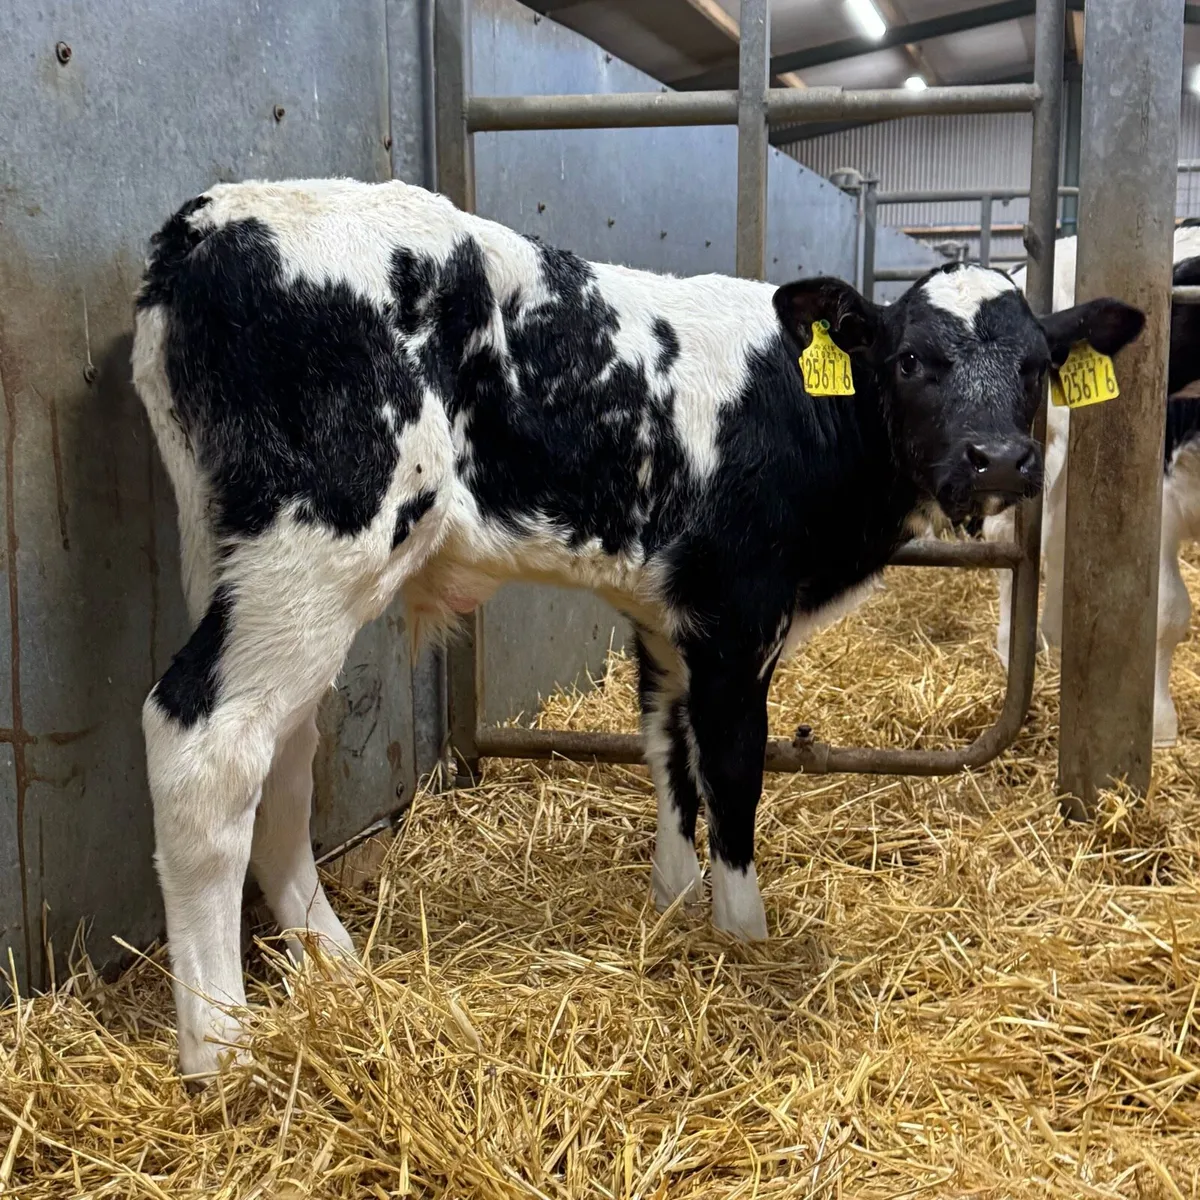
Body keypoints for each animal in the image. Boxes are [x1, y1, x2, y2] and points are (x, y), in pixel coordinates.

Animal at [131, 178, 1144, 1076]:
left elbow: (666, 751)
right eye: (909, 361)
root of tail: (210, 219)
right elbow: (732, 772)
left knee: (285, 747)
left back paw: (332, 961)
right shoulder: (737, 623)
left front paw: (671, 901)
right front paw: (742, 940)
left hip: (240, 557)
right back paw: (221, 1049)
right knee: (205, 741)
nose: (998, 459)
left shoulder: (665, 620)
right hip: (321, 536)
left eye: (1035, 367)